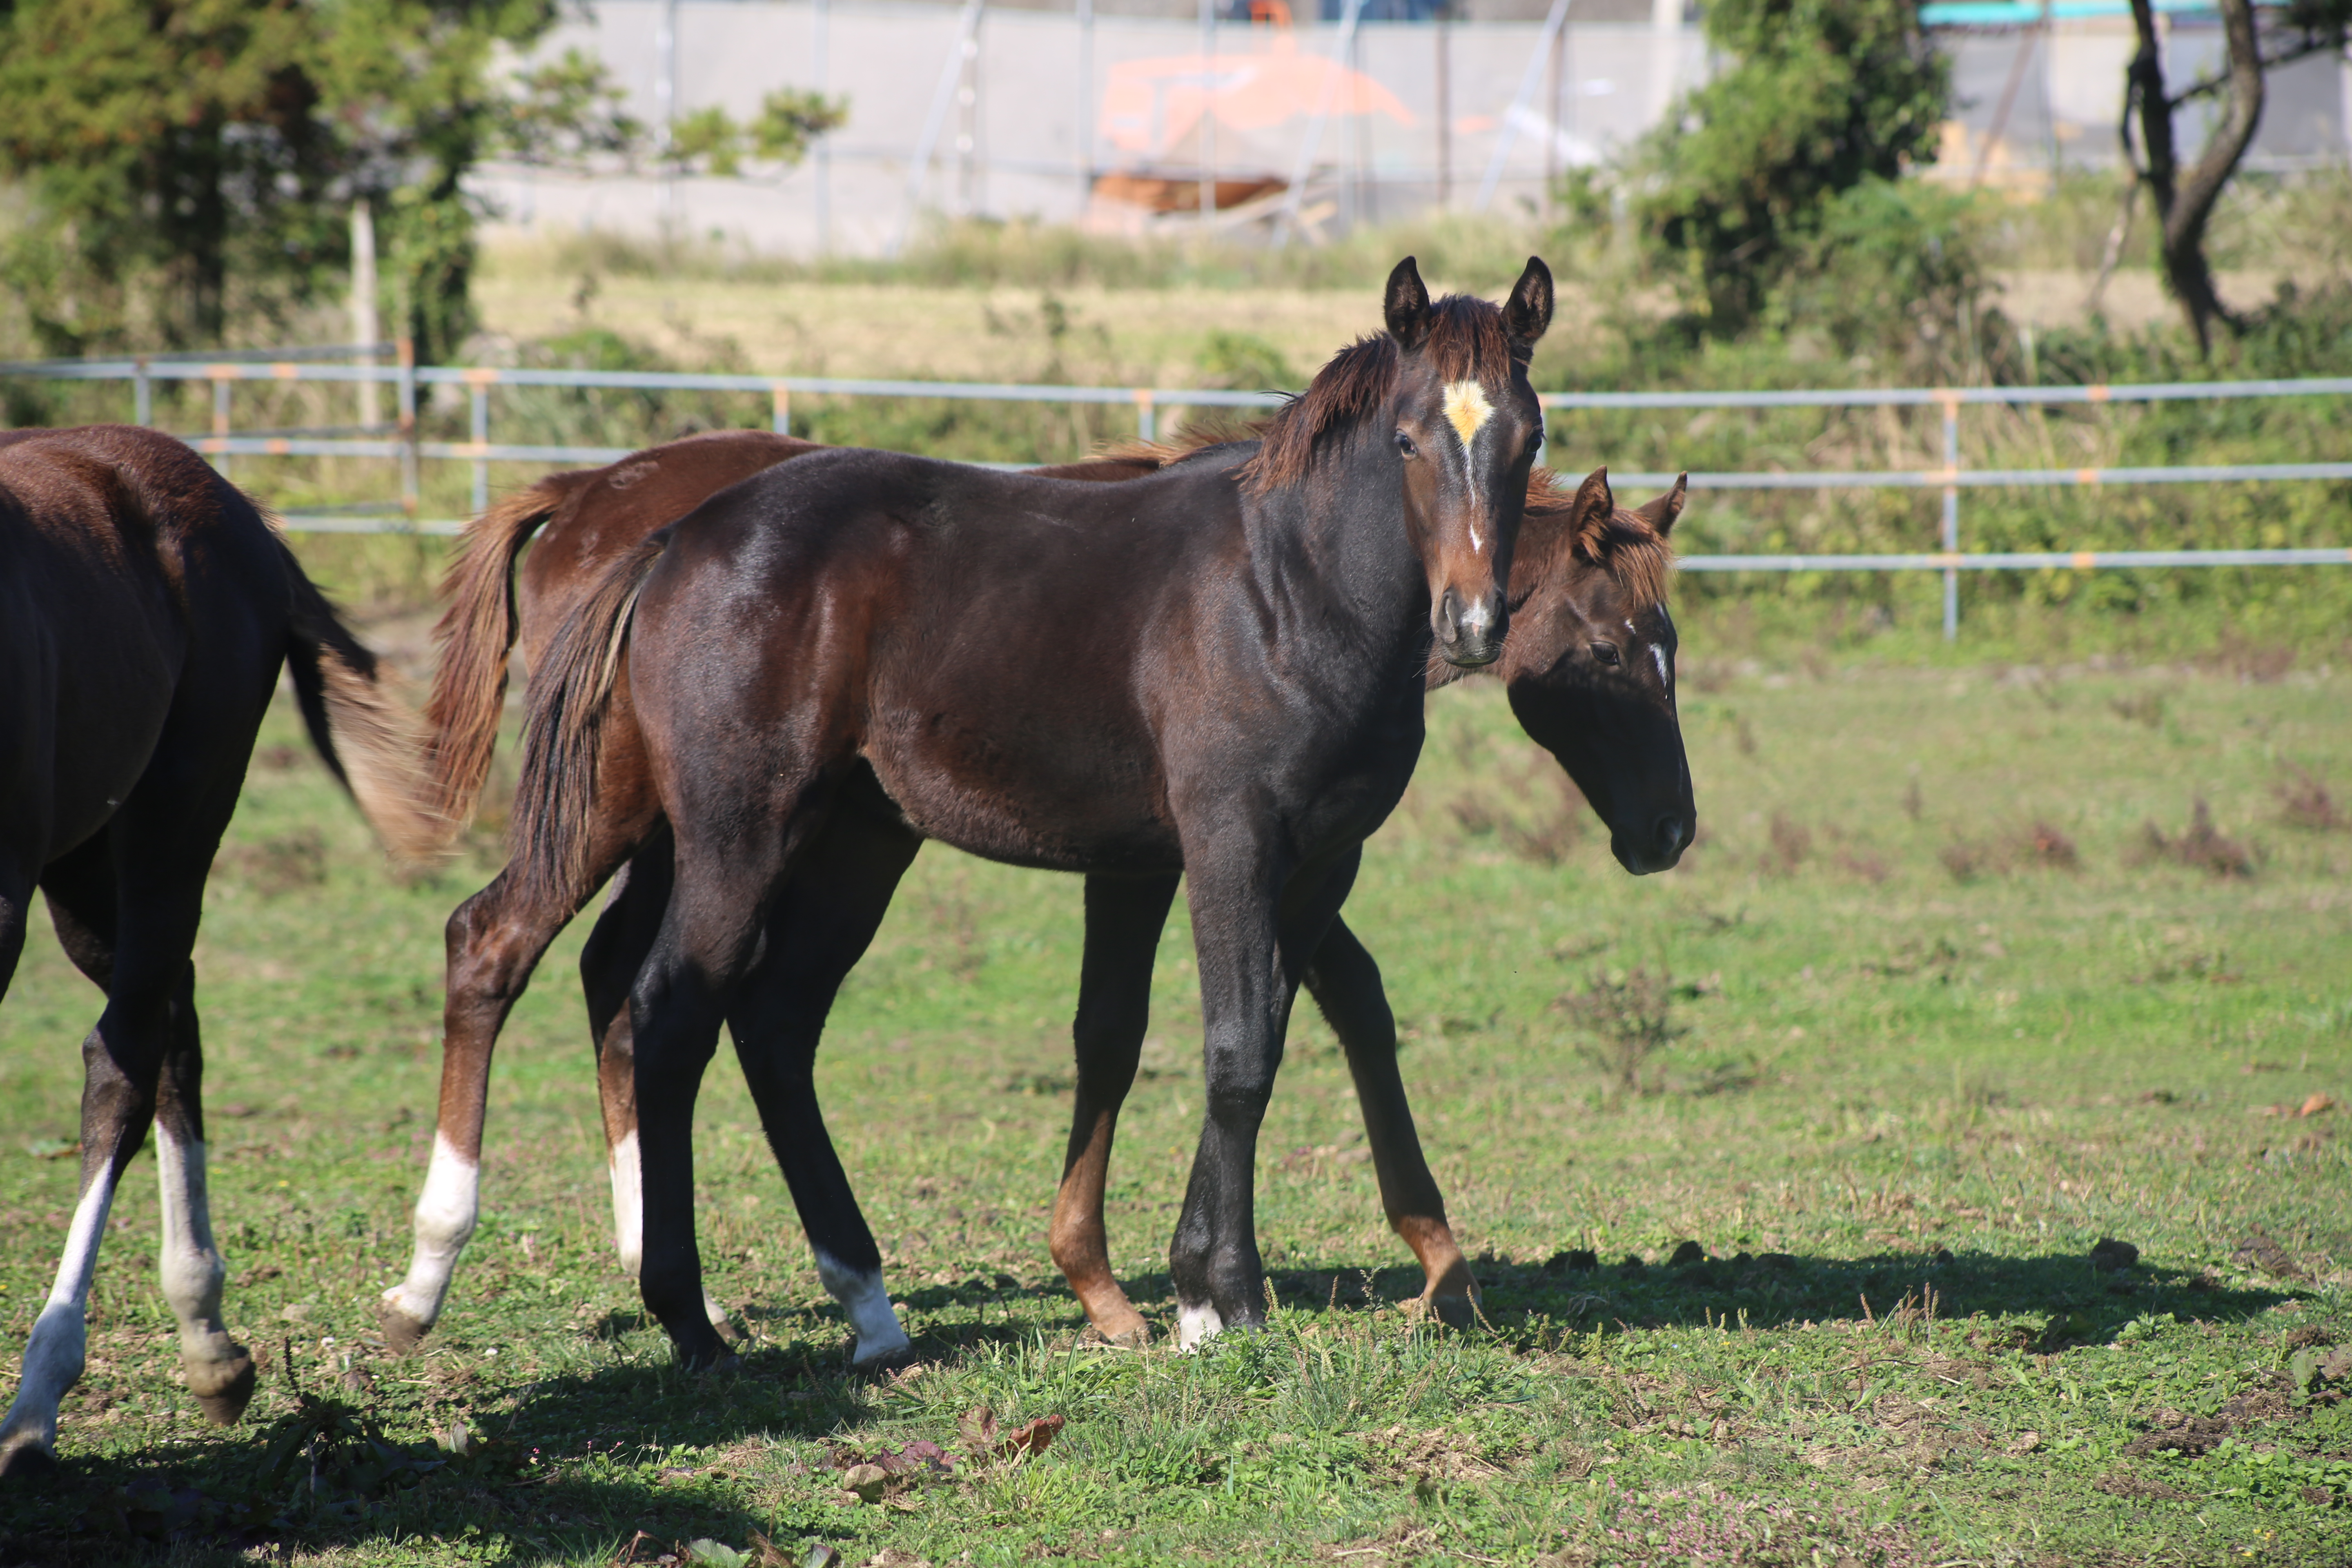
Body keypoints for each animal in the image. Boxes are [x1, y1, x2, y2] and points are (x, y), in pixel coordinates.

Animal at [0, 423, 442, 1476]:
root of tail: (235, 505)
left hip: (171, 816)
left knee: (124, 1055)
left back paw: (51, 1391)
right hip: (85, 858)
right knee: (171, 1021)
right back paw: (209, 1340)